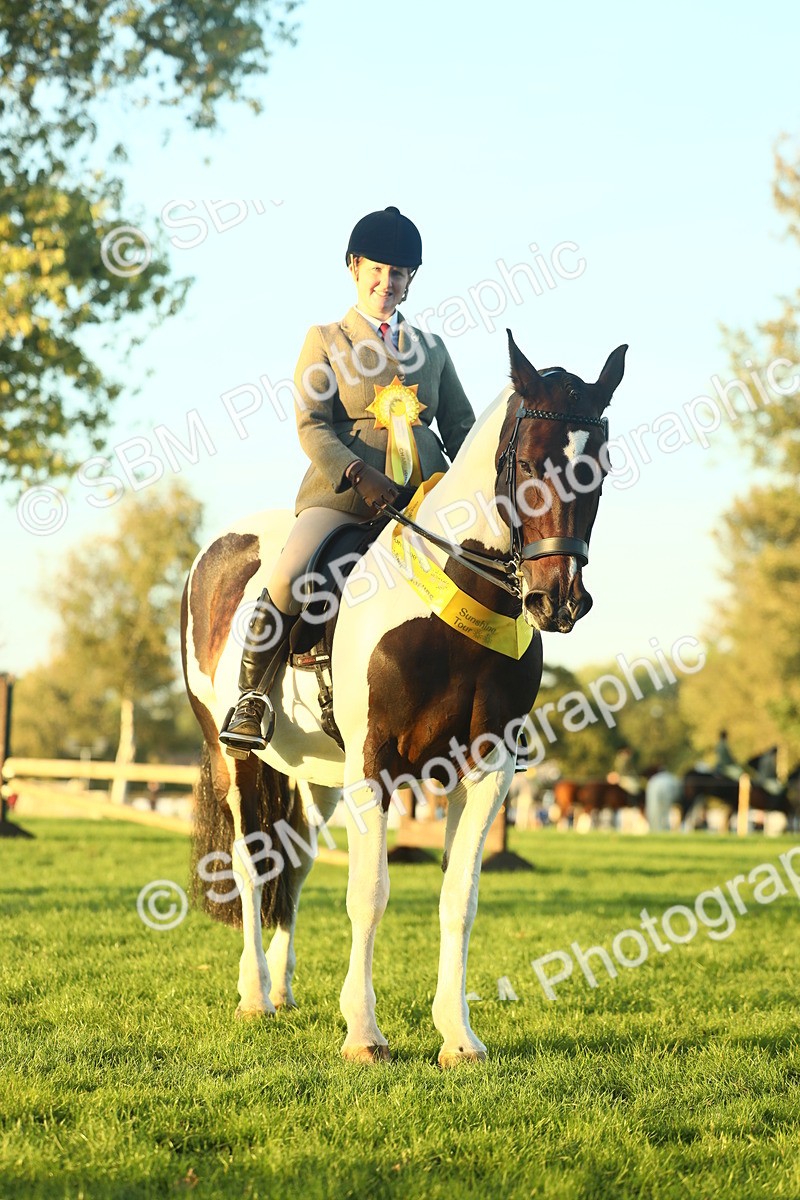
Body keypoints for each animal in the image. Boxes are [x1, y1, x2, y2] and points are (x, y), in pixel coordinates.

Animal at [181, 330, 627, 1066]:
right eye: (526, 462)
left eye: (600, 467)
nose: (558, 601)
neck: (456, 603)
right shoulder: (374, 765)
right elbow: (369, 893)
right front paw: (364, 1034)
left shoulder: (485, 769)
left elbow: (459, 897)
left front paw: (458, 1036)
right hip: (235, 759)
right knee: (249, 866)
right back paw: (254, 994)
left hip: (313, 774)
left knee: (292, 869)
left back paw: (283, 991)